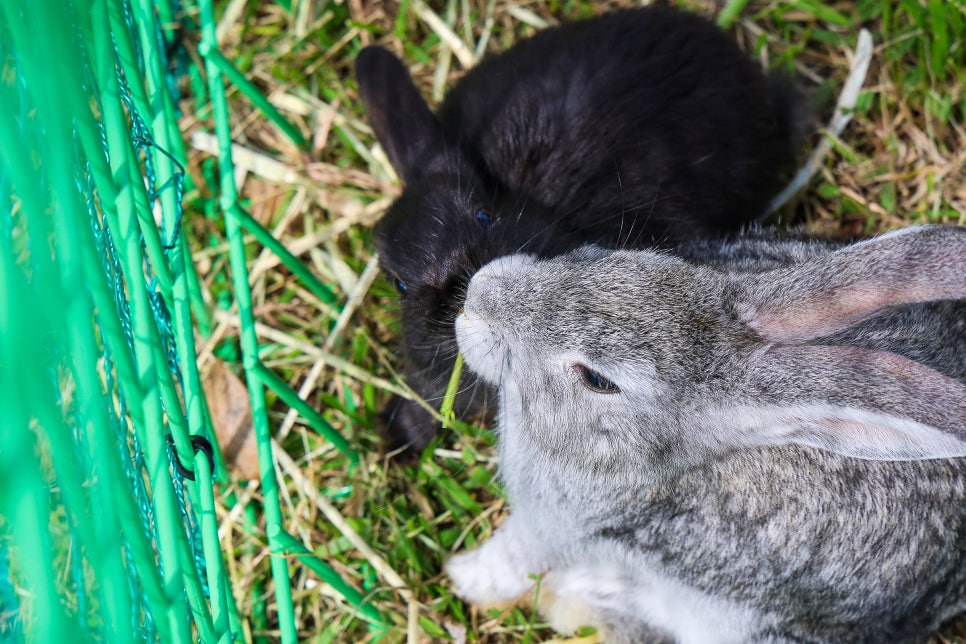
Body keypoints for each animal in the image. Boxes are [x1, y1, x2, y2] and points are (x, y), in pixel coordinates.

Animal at [446, 226, 966, 644]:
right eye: (601, 256)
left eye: (597, 379)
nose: (478, 296)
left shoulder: (554, 529)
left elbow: (511, 562)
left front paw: (464, 578)